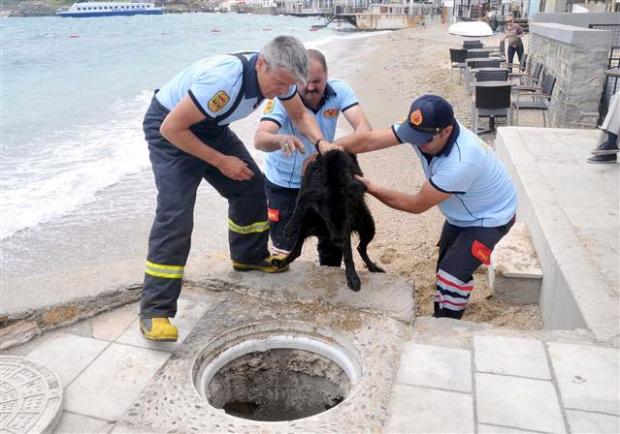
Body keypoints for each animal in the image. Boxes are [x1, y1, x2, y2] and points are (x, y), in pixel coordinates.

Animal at [274, 150, 386, 292]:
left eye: (347, 217)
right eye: (327, 219)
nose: (338, 242)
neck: (332, 180)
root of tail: (323, 233)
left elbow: (348, 255)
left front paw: (352, 277)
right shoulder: (307, 186)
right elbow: (300, 201)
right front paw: (290, 226)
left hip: (368, 227)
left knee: (360, 248)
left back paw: (373, 267)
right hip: (305, 224)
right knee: (296, 251)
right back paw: (283, 261)